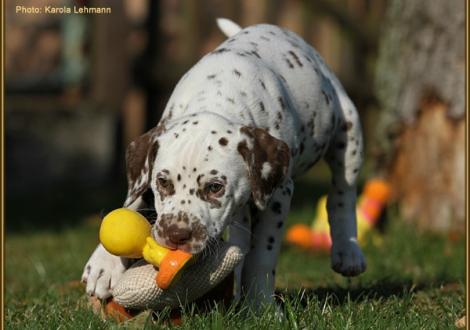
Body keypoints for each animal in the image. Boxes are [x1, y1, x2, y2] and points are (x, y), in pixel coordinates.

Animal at [82, 18, 366, 306]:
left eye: (215, 187)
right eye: (163, 183)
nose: (177, 235)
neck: (217, 98)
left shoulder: (277, 194)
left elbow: (262, 255)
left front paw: (259, 305)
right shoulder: (147, 169)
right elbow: (132, 202)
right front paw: (104, 266)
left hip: (348, 130)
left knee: (342, 192)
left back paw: (348, 252)